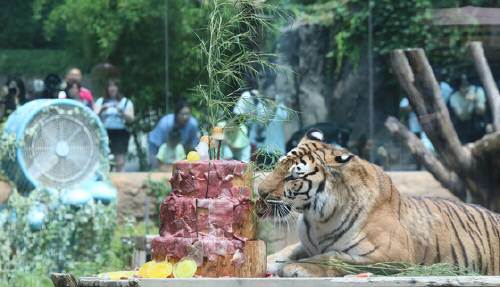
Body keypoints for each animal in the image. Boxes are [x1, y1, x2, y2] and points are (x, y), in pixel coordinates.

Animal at [256, 129, 500, 278]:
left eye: (292, 177)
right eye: (277, 166)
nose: (260, 191)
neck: (318, 219)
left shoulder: (392, 256)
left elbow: (332, 258)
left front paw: (295, 267)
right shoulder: (306, 244)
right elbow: (284, 251)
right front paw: (267, 261)